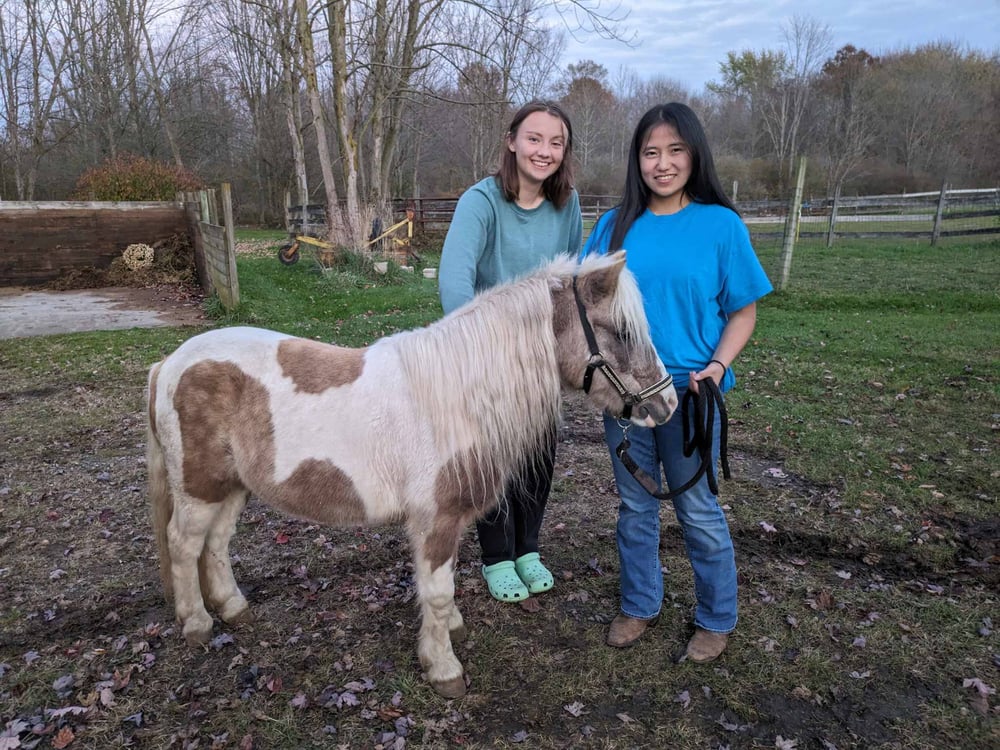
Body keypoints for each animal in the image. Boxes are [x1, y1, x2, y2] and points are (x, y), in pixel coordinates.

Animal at [146, 250, 678, 698]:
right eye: (622, 332)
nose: (668, 404)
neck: (460, 397)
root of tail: (168, 362)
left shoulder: (450, 522)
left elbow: (441, 587)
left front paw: (450, 630)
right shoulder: (435, 520)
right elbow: (437, 591)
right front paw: (443, 669)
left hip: (231, 487)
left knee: (216, 544)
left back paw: (233, 607)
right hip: (198, 489)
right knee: (184, 545)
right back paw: (197, 625)